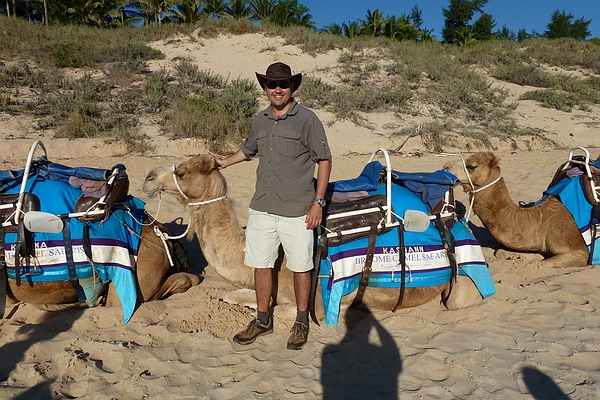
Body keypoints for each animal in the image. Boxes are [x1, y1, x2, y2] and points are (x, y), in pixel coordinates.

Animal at [142, 155, 484, 321]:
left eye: (183, 172)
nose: (147, 178)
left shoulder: (314, 302)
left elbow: (281, 310)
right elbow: (235, 296)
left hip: (462, 286)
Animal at [443, 152, 589, 268]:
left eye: (472, 166)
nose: (445, 166)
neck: (542, 221)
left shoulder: (581, 252)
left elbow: (540, 264)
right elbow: (501, 252)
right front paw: (519, 256)